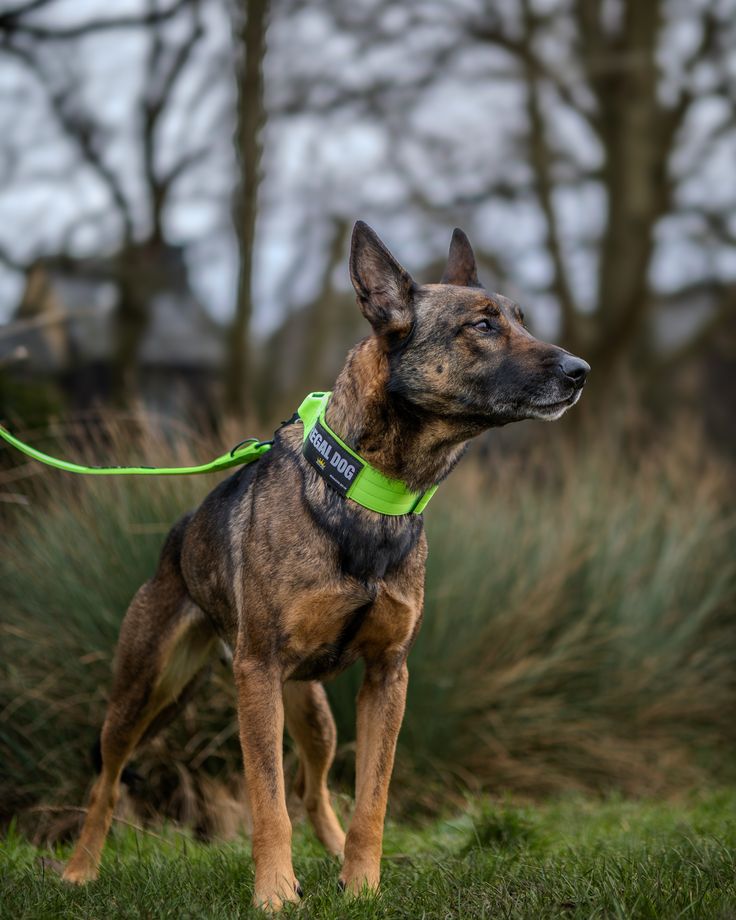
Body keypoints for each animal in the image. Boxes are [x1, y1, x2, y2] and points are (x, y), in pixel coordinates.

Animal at [63, 221, 592, 904]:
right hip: (145, 690)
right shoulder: (259, 673)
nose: (581, 371)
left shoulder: (387, 677)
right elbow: (266, 803)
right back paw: (79, 869)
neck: (368, 491)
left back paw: (339, 858)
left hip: (311, 712)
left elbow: (372, 799)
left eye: (521, 320)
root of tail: (176, 540)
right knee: (107, 781)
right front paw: (274, 895)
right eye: (482, 325)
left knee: (313, 791)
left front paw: (362, 886)